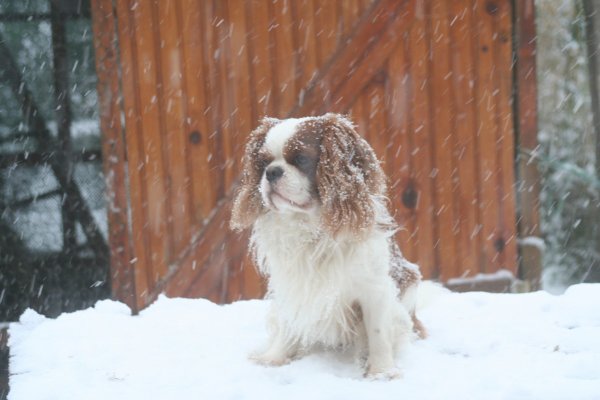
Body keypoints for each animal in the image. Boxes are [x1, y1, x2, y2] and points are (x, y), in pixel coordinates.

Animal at [229, 112, 422, 378]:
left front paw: (381, 371)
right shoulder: (292, 283)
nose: (272, 172)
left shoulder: (375, 288)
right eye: (263, 162)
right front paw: (274, 359)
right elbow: (288, 325)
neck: (311, 225)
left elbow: (378, 332)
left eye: (300, 158)